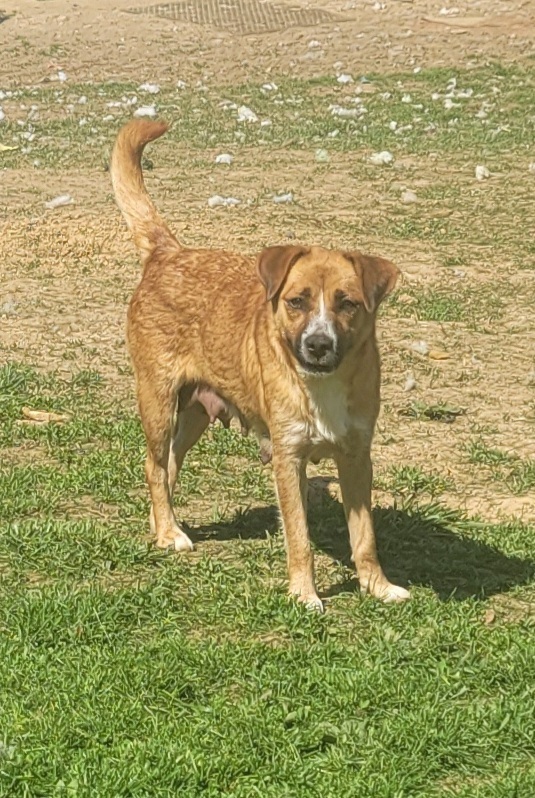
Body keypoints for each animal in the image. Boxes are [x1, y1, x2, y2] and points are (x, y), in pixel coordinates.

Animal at [110, 119, 410, 608]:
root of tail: (168, 253)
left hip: (194, 415)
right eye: (296, 301)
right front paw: (305, 595)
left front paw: (377, 586)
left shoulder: (357, 457)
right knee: (153, 466)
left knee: (168, 467)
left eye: (347, 303)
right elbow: (299, 537)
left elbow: (365, 537)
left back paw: (163, 526)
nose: (318, 345)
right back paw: (169, 533)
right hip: (158, 402)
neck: (320, 387)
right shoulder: (288, 459)